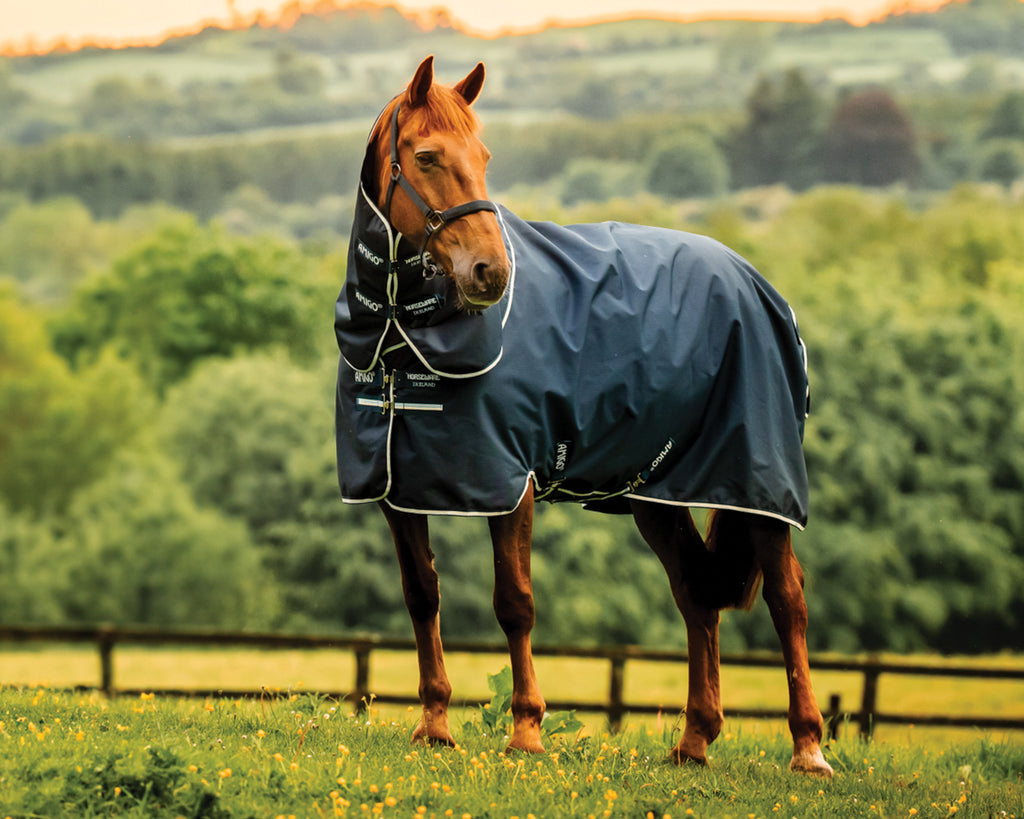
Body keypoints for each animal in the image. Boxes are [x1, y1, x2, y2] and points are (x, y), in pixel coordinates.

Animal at [333, 55, 833, 778]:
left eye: (483, 157)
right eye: (426, 157)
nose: (490, 273)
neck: (405, 337)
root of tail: (757, 284)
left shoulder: (511, 484)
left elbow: (514, 603)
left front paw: (525, 730)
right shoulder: (398, 490)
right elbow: (421, 595)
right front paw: (434, 724)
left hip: (757, 486)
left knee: (787, 600)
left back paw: (808, 746)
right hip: (659, 494)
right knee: (696, 595)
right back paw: (695, 739)